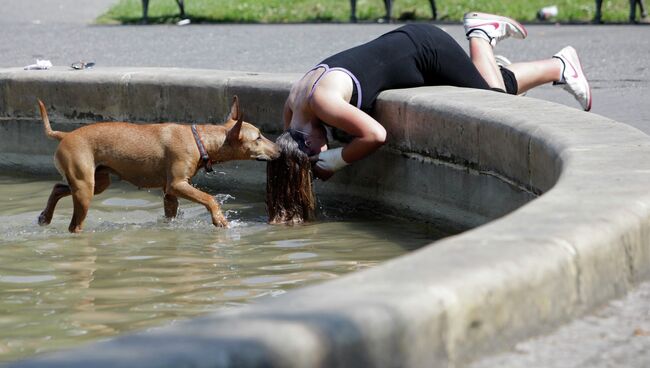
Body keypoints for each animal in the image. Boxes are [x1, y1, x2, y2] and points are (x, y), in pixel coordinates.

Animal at [35, 96, 278, 231]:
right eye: (258, 138)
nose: (280, 149)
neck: (199, 140)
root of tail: (64, 134)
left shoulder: (169, 192)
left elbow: (171, 212)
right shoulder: (177, 184)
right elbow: (209, 198)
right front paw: (220, 220)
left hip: (98, 181)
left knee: (57, 188)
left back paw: (45, 217)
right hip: (85, 187)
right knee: (74, 225)